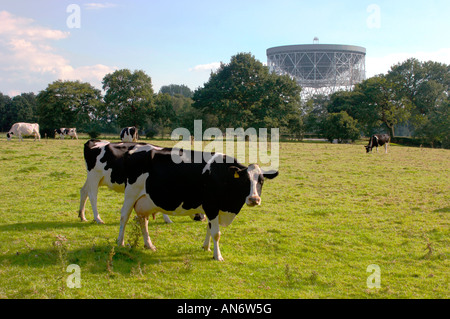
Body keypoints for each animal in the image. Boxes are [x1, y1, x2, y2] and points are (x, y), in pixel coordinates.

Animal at [116, 149, 280, 262]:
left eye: (261, 181)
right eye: (245, 180)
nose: (254, 199)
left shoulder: (213, 209)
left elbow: (209, 227)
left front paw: (206, 247)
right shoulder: (212, 206)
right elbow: (216, 233)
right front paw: (217, 255)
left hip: (145, 201)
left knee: (143, 221)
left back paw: (149, 245)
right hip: (131, 194)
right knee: (124, 217)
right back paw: (120, 242)